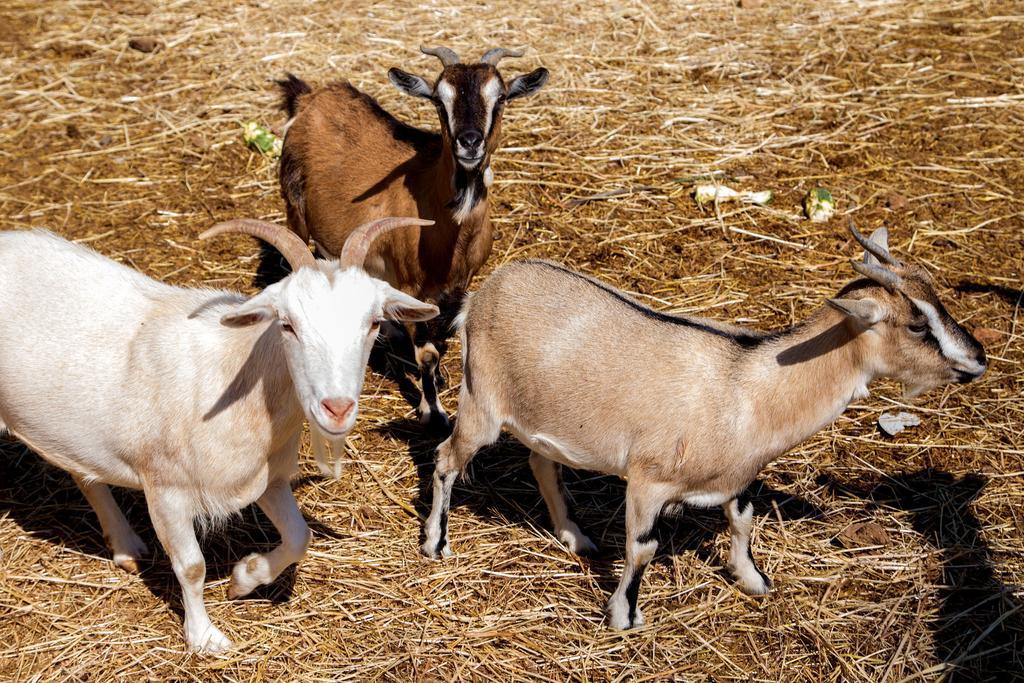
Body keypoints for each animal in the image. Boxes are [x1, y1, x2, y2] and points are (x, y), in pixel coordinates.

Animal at [0, 219, 436, 651]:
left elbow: (300, 536)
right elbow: (192, 566)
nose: (337, 408)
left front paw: (244, 579)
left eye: (374, 322)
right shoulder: (166, 489)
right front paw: (204, 638)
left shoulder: (268, 478)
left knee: (84, 474)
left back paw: (125, 545)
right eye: (287, 325)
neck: (233, 374)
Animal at [280, 45, 548, 428]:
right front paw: (432, 410)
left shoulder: (459, 286)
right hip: (294, 207)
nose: (469, 143)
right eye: (439, 100)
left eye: (501, 98)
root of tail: (309, 97)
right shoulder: (411, 285)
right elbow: (427, 354)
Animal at [419, 223, 987, 630]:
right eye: (917, 324)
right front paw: (624, 617)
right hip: (481, 398)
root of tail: (485, 293)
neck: (748, 387)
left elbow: (743, 521)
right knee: (446, 458)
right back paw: (436, 544)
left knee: (541, 463)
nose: (978, 358)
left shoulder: (737, 478)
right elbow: (643, 547)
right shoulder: (648, 480)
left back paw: (575, 537)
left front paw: (754, 581)